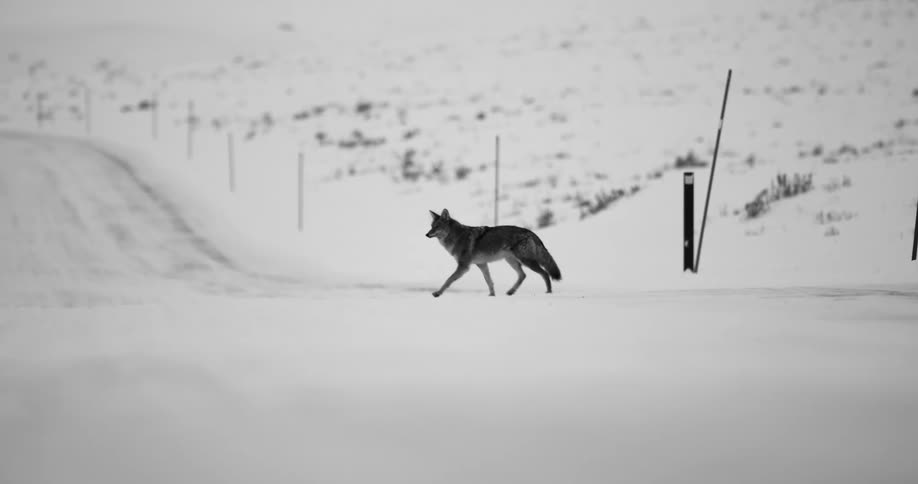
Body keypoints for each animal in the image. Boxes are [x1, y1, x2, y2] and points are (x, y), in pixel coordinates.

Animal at [425, 209, 561, 297]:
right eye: (431, 226)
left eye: (437, 226)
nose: (426, 234)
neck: (456, 237)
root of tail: (530, 232)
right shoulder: (482, 264)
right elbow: (489, 281)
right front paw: (492, 295)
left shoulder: (464, 266)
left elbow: (448, 280)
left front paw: (438, 293)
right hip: (512, 261)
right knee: (523, 275)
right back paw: (511, 292)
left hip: (527, 262)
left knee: (545, 273)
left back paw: (548, 292)